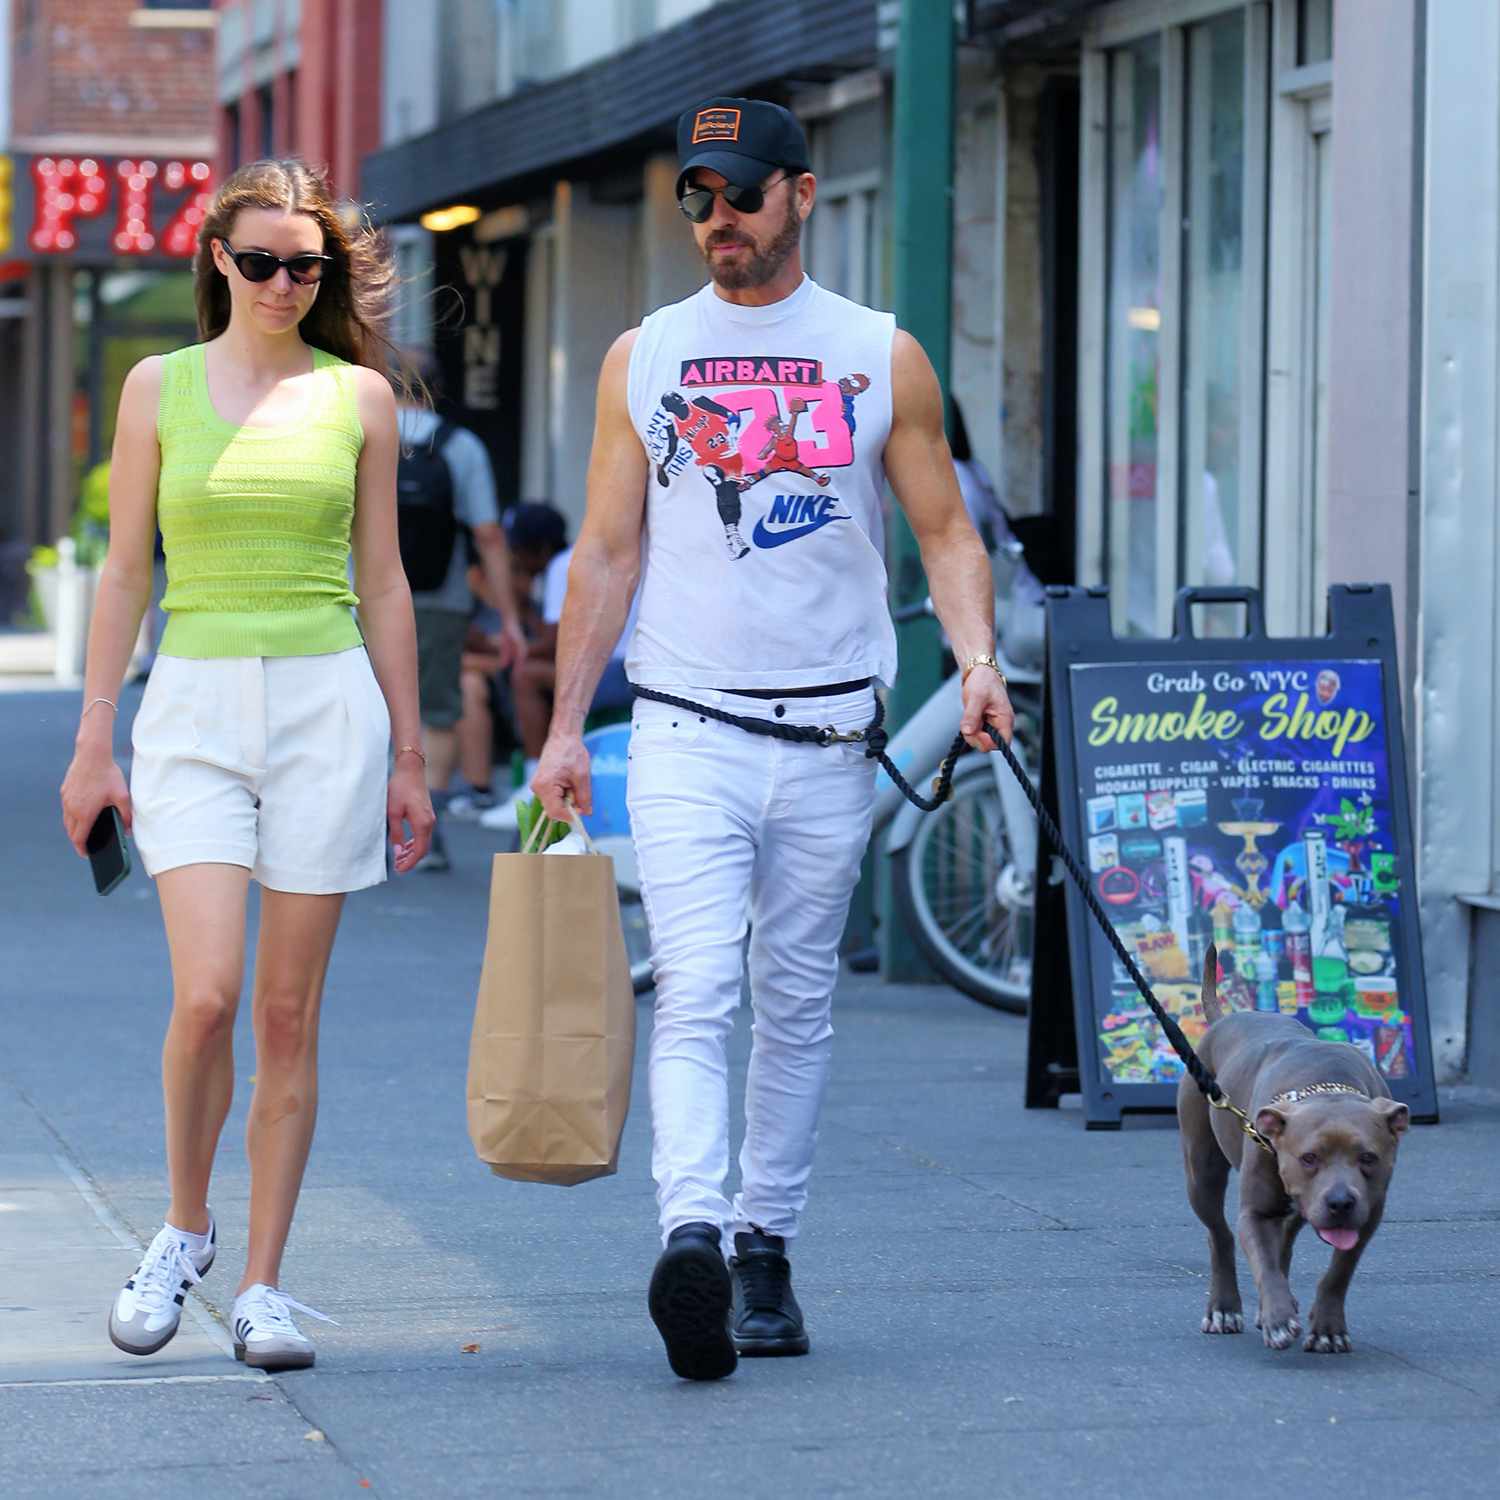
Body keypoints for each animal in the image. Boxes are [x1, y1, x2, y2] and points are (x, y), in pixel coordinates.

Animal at [1176, 948, 1410, 1362]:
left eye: (1368, 1158)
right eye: (1309, 1158)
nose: (1340, 1202)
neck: (1328, 1088)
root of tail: (1226, 1019)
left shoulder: (1368, 1217)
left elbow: (1339, 1272)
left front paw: (1328, 1330)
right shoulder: (1255, 1212)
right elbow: (1264, 1265)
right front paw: (1278, 1317)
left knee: (1283, 1237)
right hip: (1202, 1173)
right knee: (1220, 1235)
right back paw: (1225, 1308)